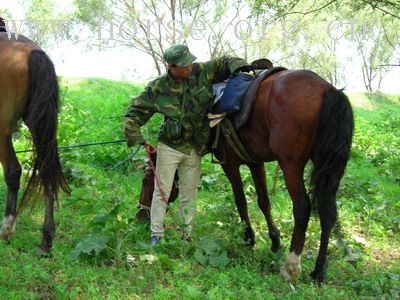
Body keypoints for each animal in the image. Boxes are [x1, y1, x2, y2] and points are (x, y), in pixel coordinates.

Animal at [138, 68, 354, 284]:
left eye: (146, 181)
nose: (140, 215)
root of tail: (328, 89)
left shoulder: (229, 163)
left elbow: (240, 200)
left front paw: (248, 236)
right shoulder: (255, 162)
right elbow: (264, 202)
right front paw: (275, 241)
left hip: (291, 165)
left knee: (303, 207)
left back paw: (291, 266)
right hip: (328, 168)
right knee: (328, 211)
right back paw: (319, 271)